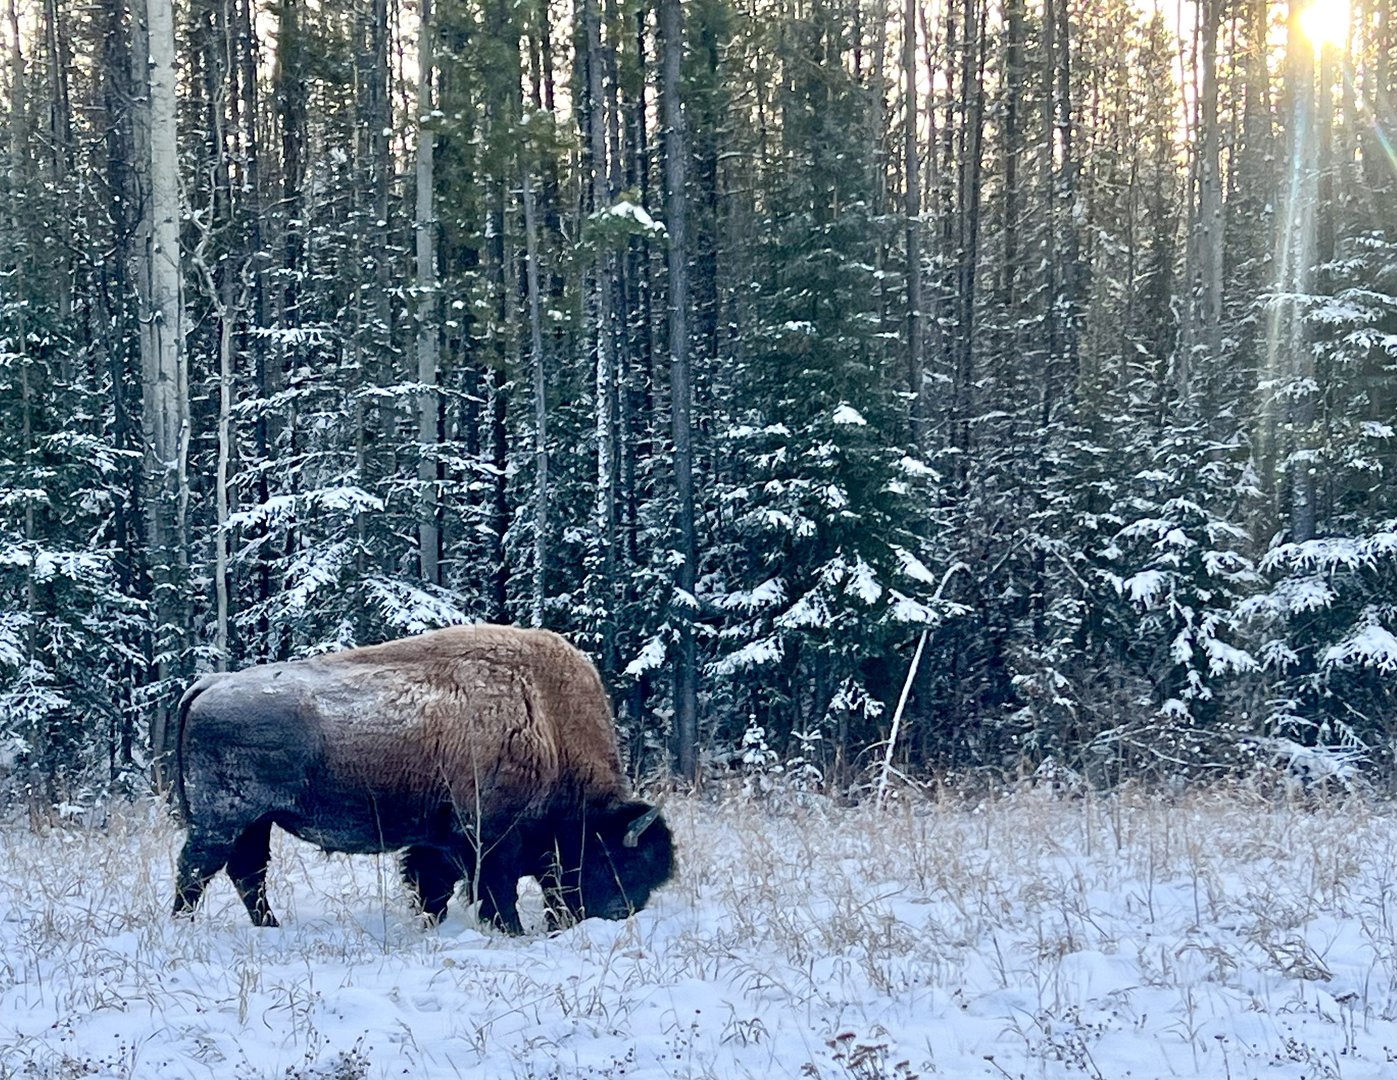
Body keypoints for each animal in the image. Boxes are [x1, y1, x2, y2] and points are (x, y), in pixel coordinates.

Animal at [156, 625, 674, 932]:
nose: (617, 916)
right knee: (198, 870)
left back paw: (270, 927)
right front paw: (510, 930)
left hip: (254, 822)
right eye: (621, 863)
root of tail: (211, 683)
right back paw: (184, 927)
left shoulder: (437, 839)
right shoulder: (489, 836)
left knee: (246, 873)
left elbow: (433, 886)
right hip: (224, 820)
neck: (545, 720)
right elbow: (495, 889)